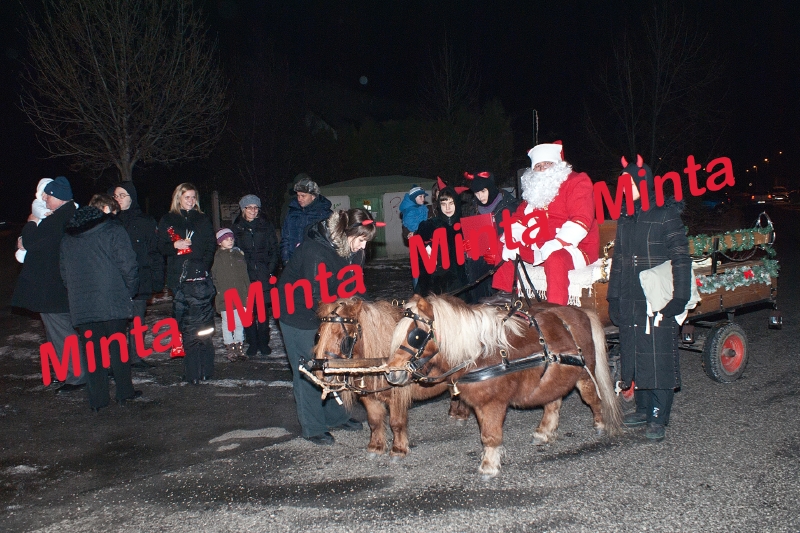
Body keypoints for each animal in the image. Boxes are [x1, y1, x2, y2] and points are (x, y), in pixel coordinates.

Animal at [313, 298, 471, 458]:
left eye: (342, 337)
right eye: (318, 335)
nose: (321, 372)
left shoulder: (397, 394)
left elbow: (396, 422)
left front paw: (398, 449)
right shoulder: (369, 397)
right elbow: (374, 421)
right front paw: (376, 447)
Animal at [386, 294, 622, 478]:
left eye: (416, 336)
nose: (392, 373)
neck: (480, 354)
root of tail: (580, 311)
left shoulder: (494, 403)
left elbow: (491, 435)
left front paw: (489, 466)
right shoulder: (479, 404)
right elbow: (485, 433)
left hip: (584, 375)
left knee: (593, 398)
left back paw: (600, 424)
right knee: (553, 401)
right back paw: (544, 431)